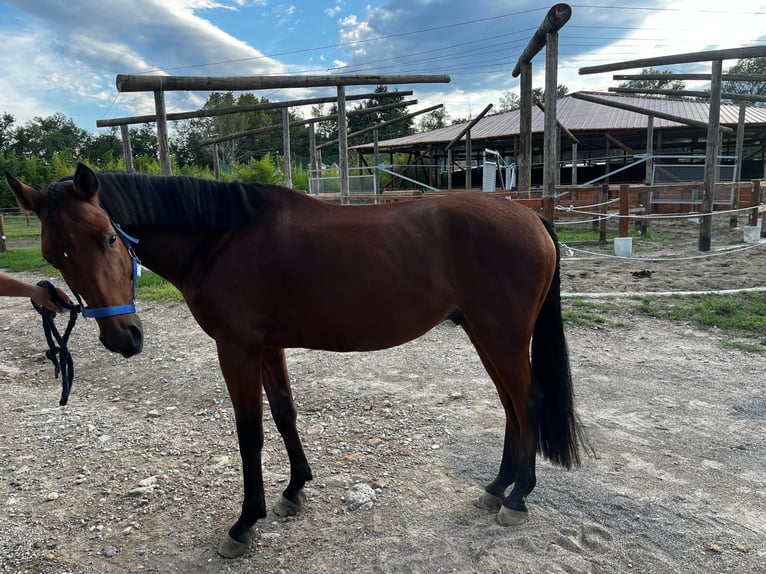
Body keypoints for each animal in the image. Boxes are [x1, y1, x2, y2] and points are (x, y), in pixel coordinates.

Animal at [6, 164, 588, 560]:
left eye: (108, 236)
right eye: (54, 254)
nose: (123, 338)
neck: (221, 239)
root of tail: (531, 216)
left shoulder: (237, 347)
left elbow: (250, 432)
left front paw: (246, 523)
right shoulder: (268, 346)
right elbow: (285, 412)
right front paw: (294, 491)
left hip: (501, 336)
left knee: (528, 402)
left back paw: (518, 497)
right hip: (485, 336)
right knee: (511, 405)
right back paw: (498, 486)